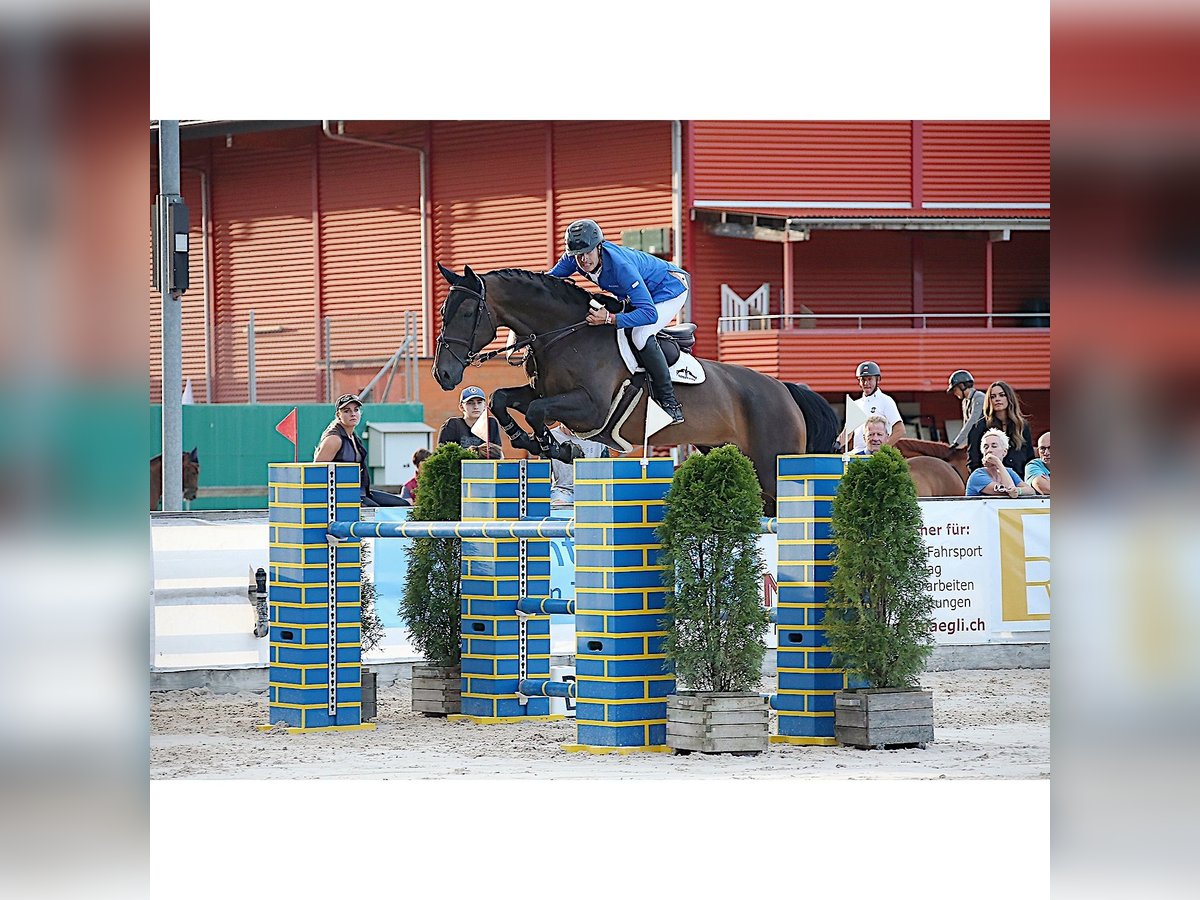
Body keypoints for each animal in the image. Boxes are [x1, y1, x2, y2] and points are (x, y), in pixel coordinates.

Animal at [436, 262, 840, 513]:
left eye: (468, 312)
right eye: (443, 311)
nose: (443, 374)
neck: (566, 334)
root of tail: (786, 390)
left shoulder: (591, 408)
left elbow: (537, 412)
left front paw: (560, 448)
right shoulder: (544, 392)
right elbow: (503, 399)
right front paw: (528, 440)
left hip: (774, 465)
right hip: (729, 454)